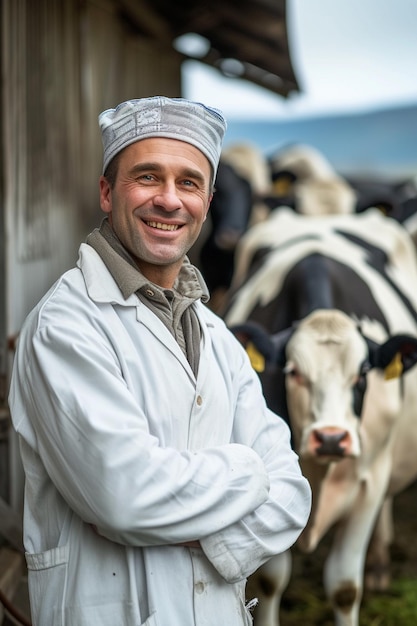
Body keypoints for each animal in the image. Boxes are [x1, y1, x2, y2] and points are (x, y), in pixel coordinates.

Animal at [224, 208, 417, 624]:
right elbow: (271, 582)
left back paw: (379, 563)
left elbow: (345, 588)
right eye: (293, 371)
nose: (330, 438)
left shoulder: (369, 482)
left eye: (363, 372)